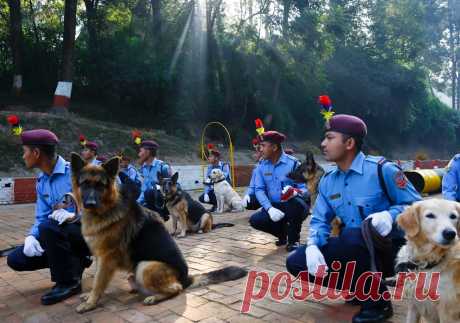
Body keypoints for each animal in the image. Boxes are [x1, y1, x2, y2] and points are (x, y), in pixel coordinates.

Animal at [69, 154, 246, 314]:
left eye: (100, 185)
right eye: (84, 184)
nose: (90, 203)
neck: (107, 208)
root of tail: (186, 278)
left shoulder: (107, 258)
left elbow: (98, 283)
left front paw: (90, 303)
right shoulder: (100, 256)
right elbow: (97, 280)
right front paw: (89, 297)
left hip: (144, 266)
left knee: (176, 288)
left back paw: (154, 297)